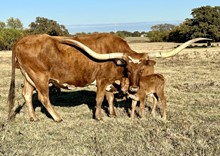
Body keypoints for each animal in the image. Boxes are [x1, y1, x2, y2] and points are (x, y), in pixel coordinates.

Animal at [6, 32, 210, 120]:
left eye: (142, 69)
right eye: (128, 67)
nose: (134, 88)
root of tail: (22, 39)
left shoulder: (111, 82)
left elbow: (110, 98)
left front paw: (111, 114)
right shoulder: (102, 81)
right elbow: (99, 99)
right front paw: (99, 117)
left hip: (29, 76)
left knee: (27, 95)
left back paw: (34, 117)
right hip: (40, 77)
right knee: (43, 97)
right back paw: (57, 117)